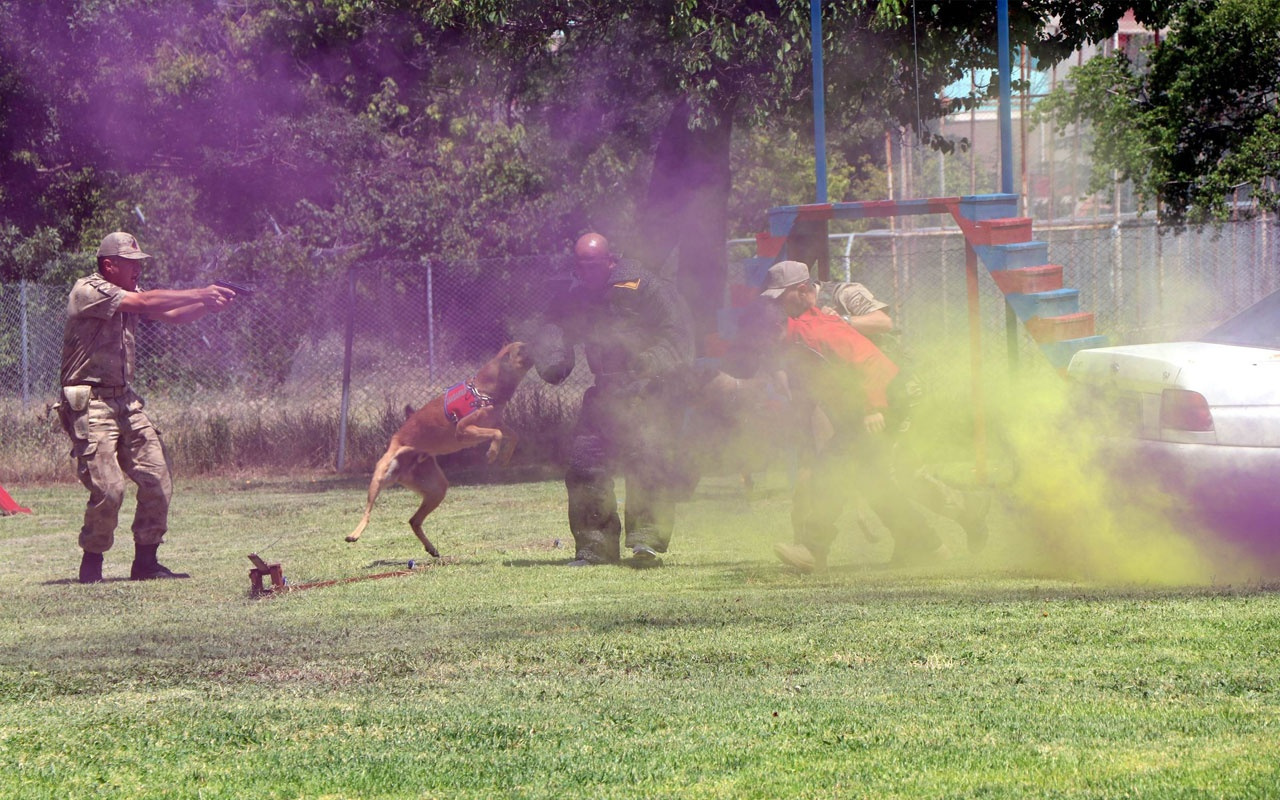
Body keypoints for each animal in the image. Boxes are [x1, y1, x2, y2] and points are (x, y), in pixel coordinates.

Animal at [343, 337, 532, 555]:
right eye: (523, 348)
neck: (485, 390)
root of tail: (403, 469)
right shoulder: (463, 430)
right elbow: (497, 434)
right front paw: (493, 453)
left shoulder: (496, 423)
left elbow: (513, 435)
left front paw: (505, 455)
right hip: (381, 475)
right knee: (368, 512)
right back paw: (354, 534)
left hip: (437, 489)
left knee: (414, 520)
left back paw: (431, 548)